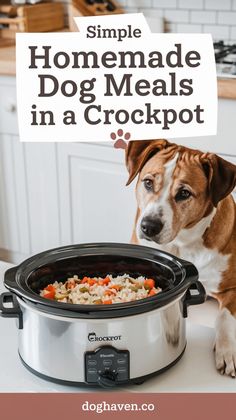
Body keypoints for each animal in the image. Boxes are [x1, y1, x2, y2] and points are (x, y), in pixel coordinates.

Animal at [126, 140, 236, 378]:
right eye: (148, 183)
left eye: (184, 193)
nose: (149, 226)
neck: (182, 244)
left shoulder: (232, 288)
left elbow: (224, 317)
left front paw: (227, 351)